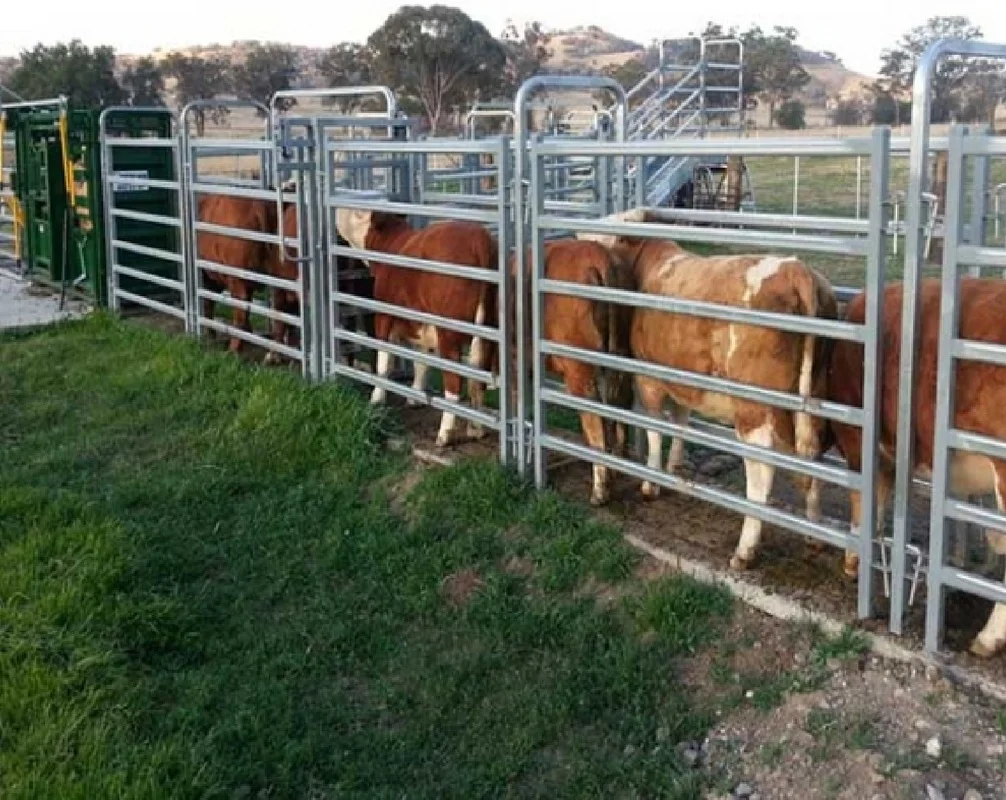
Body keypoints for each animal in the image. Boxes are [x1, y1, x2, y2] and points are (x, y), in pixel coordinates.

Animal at [333, 209, 498, 446]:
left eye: (359, 214)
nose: (338, 210)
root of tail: (479, 238)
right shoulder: (422, 325)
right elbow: (421, 361)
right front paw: (415, 397)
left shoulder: (384, 315)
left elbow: (384, 358)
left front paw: (376, 398)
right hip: (487, 332)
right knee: (478, 380)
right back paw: (475, 428)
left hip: (449, 332)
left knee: (454, 381)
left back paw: (444, 433)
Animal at [579, 206, 836, 567]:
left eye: (615, 231)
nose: (578, 234)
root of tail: (794, 269)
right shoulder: (682, 380)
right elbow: (681, 423)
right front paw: (674, 468)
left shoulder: (648, 378)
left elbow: (654, 429)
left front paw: (651, 484)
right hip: (813, 397)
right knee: (811, 455)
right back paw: (814, 535)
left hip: (754, 408)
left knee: (762, 471)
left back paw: (745, 549)